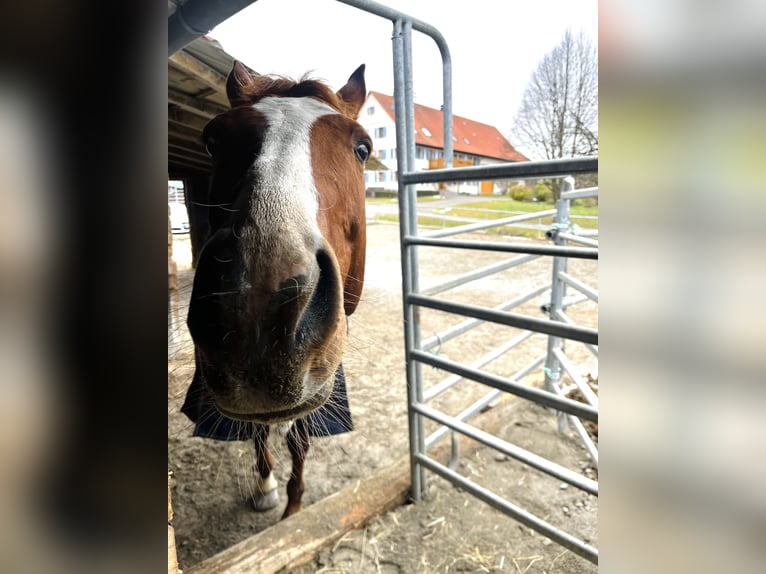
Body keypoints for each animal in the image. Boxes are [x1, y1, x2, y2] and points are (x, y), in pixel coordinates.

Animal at [183, 60, 368, 520]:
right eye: (214, 141)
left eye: (362, 148)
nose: (257, 309)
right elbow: (257, 429)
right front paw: (266, 486)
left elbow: (299, 439)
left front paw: (294, 508)